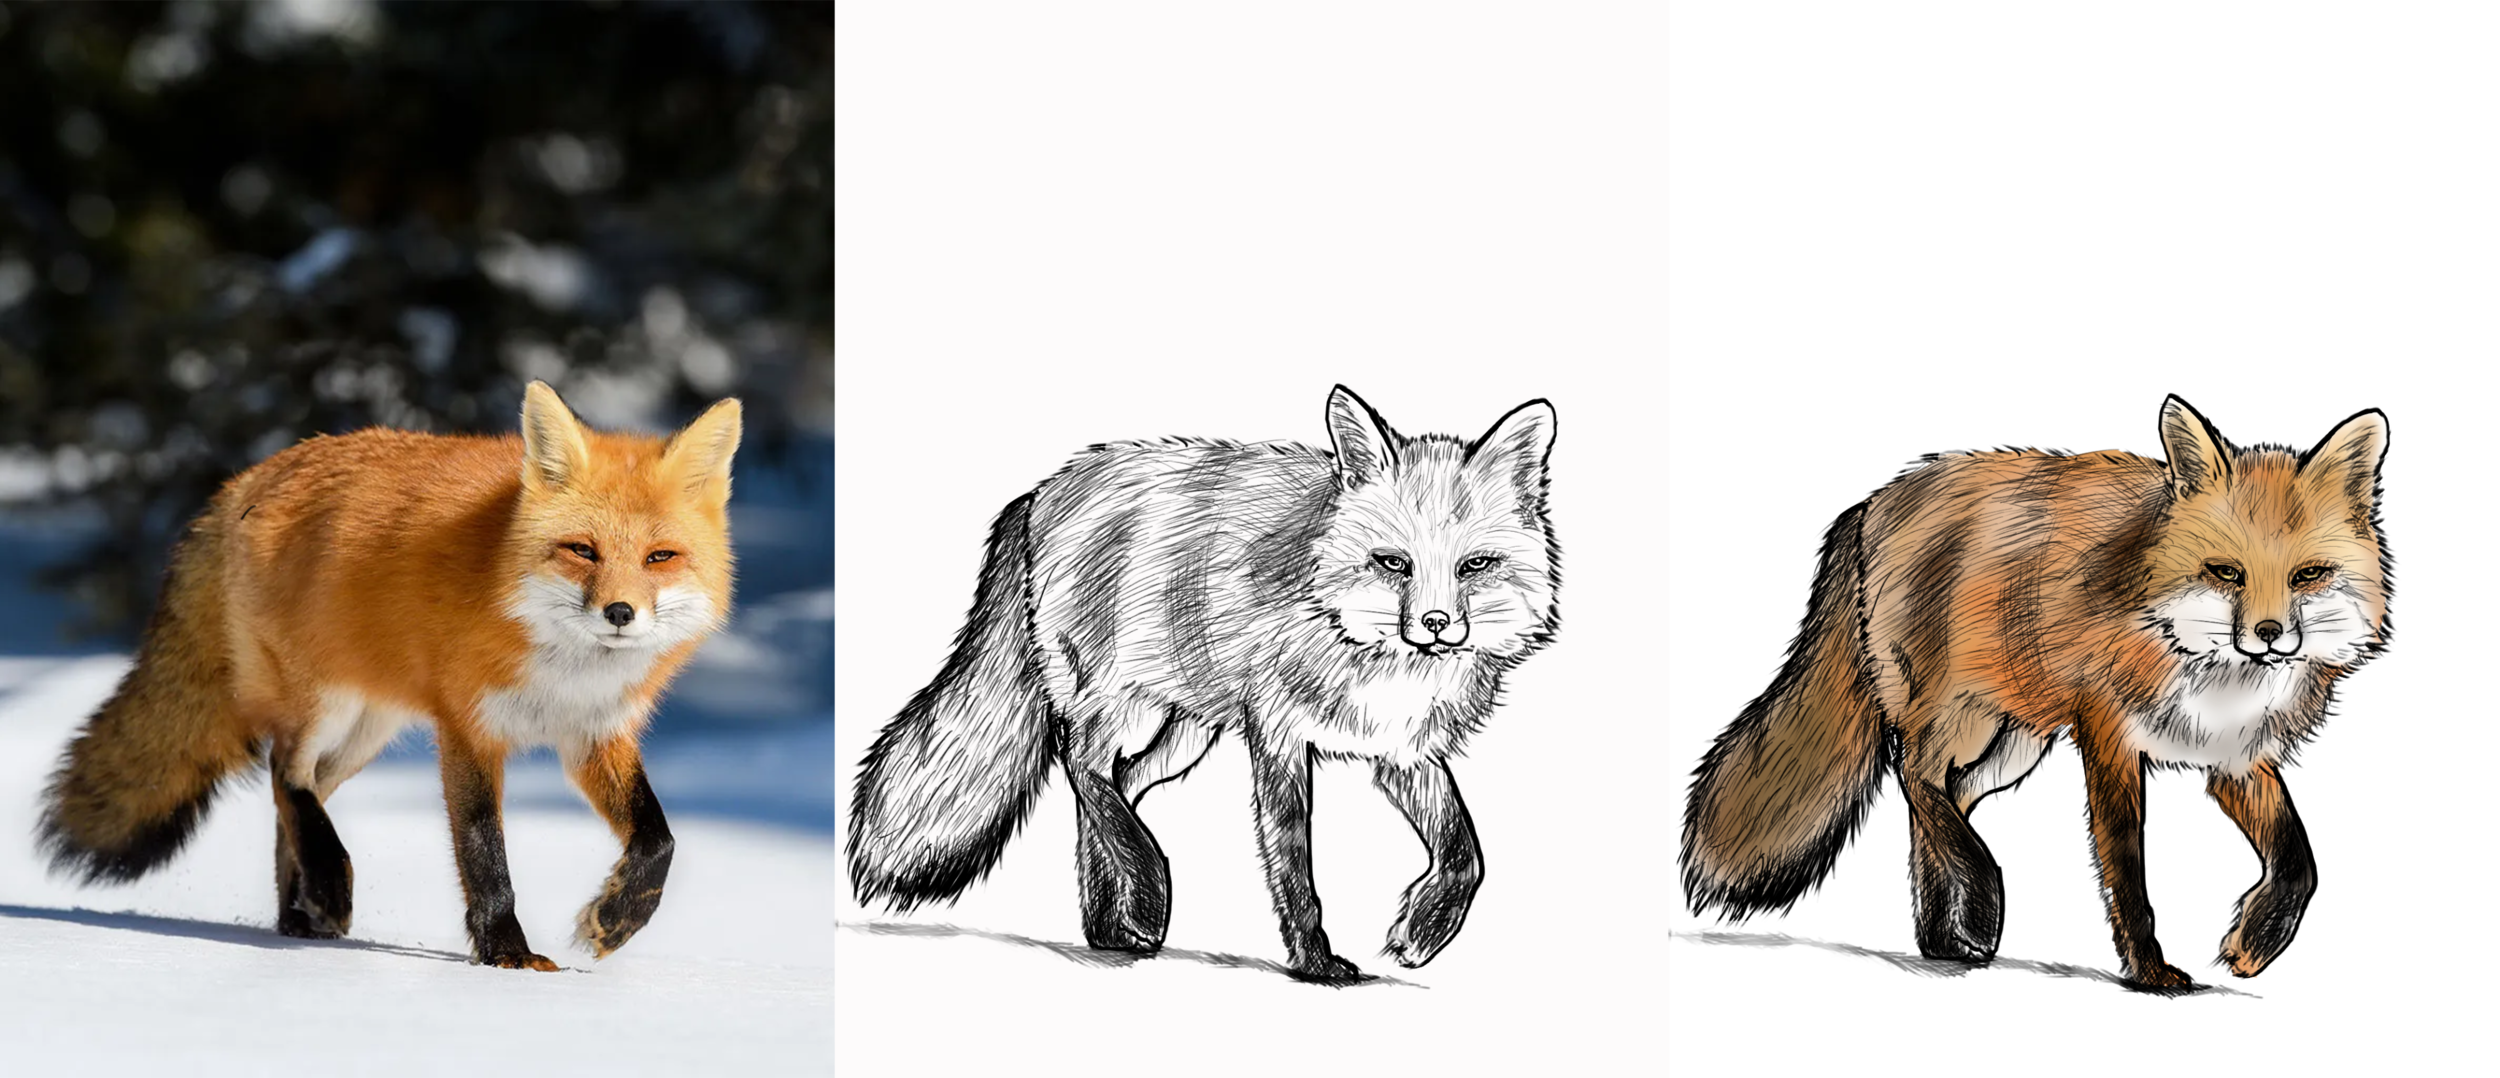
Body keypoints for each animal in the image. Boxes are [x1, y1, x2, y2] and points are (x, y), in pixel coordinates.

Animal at [38, 381, 742, 970]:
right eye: (581, 551)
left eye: (660, 557)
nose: (619, 613)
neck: (562, 671)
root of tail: (248, 479)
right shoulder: (467, 729)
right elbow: (484, 853)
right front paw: (507, 957)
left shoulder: (594, 736)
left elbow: (659, 840)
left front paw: (616, 919)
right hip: (323, 705)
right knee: (284, 773)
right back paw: (327, 885)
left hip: (366, 732)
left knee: (294, 801)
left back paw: (300, 918)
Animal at [848, 386, 1558, 983]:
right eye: (1392, 563)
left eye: (1475, 565)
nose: (1436, 625)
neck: (1368, 648)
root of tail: (1042, 489)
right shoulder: (1278, 735)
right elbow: (1293, 864)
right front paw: (1314, 962)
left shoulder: (1401, 749)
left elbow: (1466, 853)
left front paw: (1423, 930)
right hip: (1116, 701)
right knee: (1082, 764)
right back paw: (1145, 892)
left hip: (1186, 732)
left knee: (1117, 786)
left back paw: (1110, 923)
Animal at [1681, 396, 2391, 992]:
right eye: (2226, 572)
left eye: (2308, 575)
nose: (2270, 636)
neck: (2202, 661)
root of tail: (1873, 501)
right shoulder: (2110, 739)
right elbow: (2126, 869)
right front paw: (2149, 972)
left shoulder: (2236, 756)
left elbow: (2300, 862)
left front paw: (2256, 941)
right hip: (1959, 717)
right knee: (1914, 774)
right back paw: (1979, 898)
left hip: (2013, 742)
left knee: (1944, 799)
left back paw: (1943, 936)